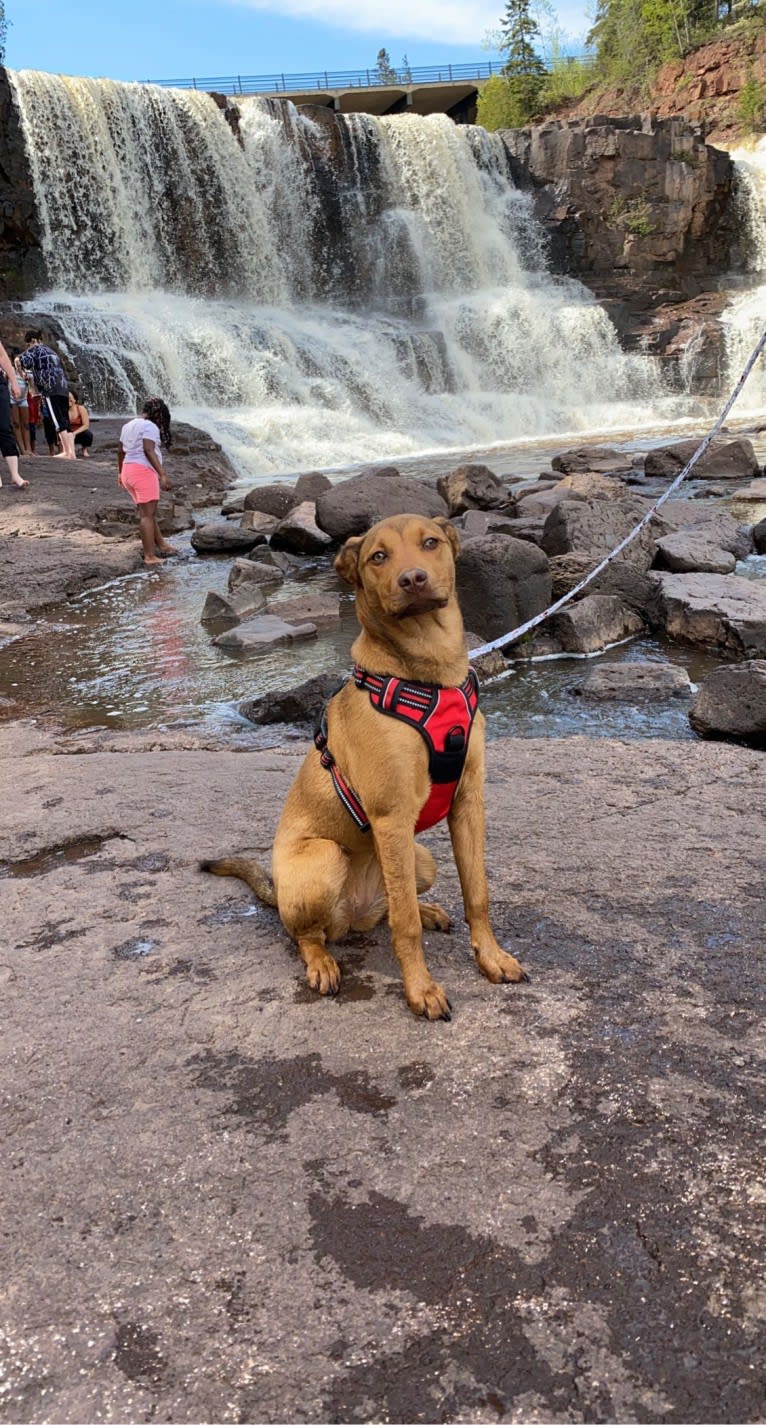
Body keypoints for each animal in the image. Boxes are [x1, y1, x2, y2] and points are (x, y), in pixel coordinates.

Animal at [200, 518, 523, 1020]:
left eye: (430, 542)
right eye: (378, 557)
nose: (413, 580)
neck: (428, 673)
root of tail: (351, 915)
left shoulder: (468, 803)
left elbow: (477, 892)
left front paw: (491, 958)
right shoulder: (392, 818)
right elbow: (405, 926)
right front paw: (420, 990)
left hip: (419, 859)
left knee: (392, 903)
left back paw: (426, 912)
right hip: (325, 860)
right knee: (309, 934)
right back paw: (322, 962)